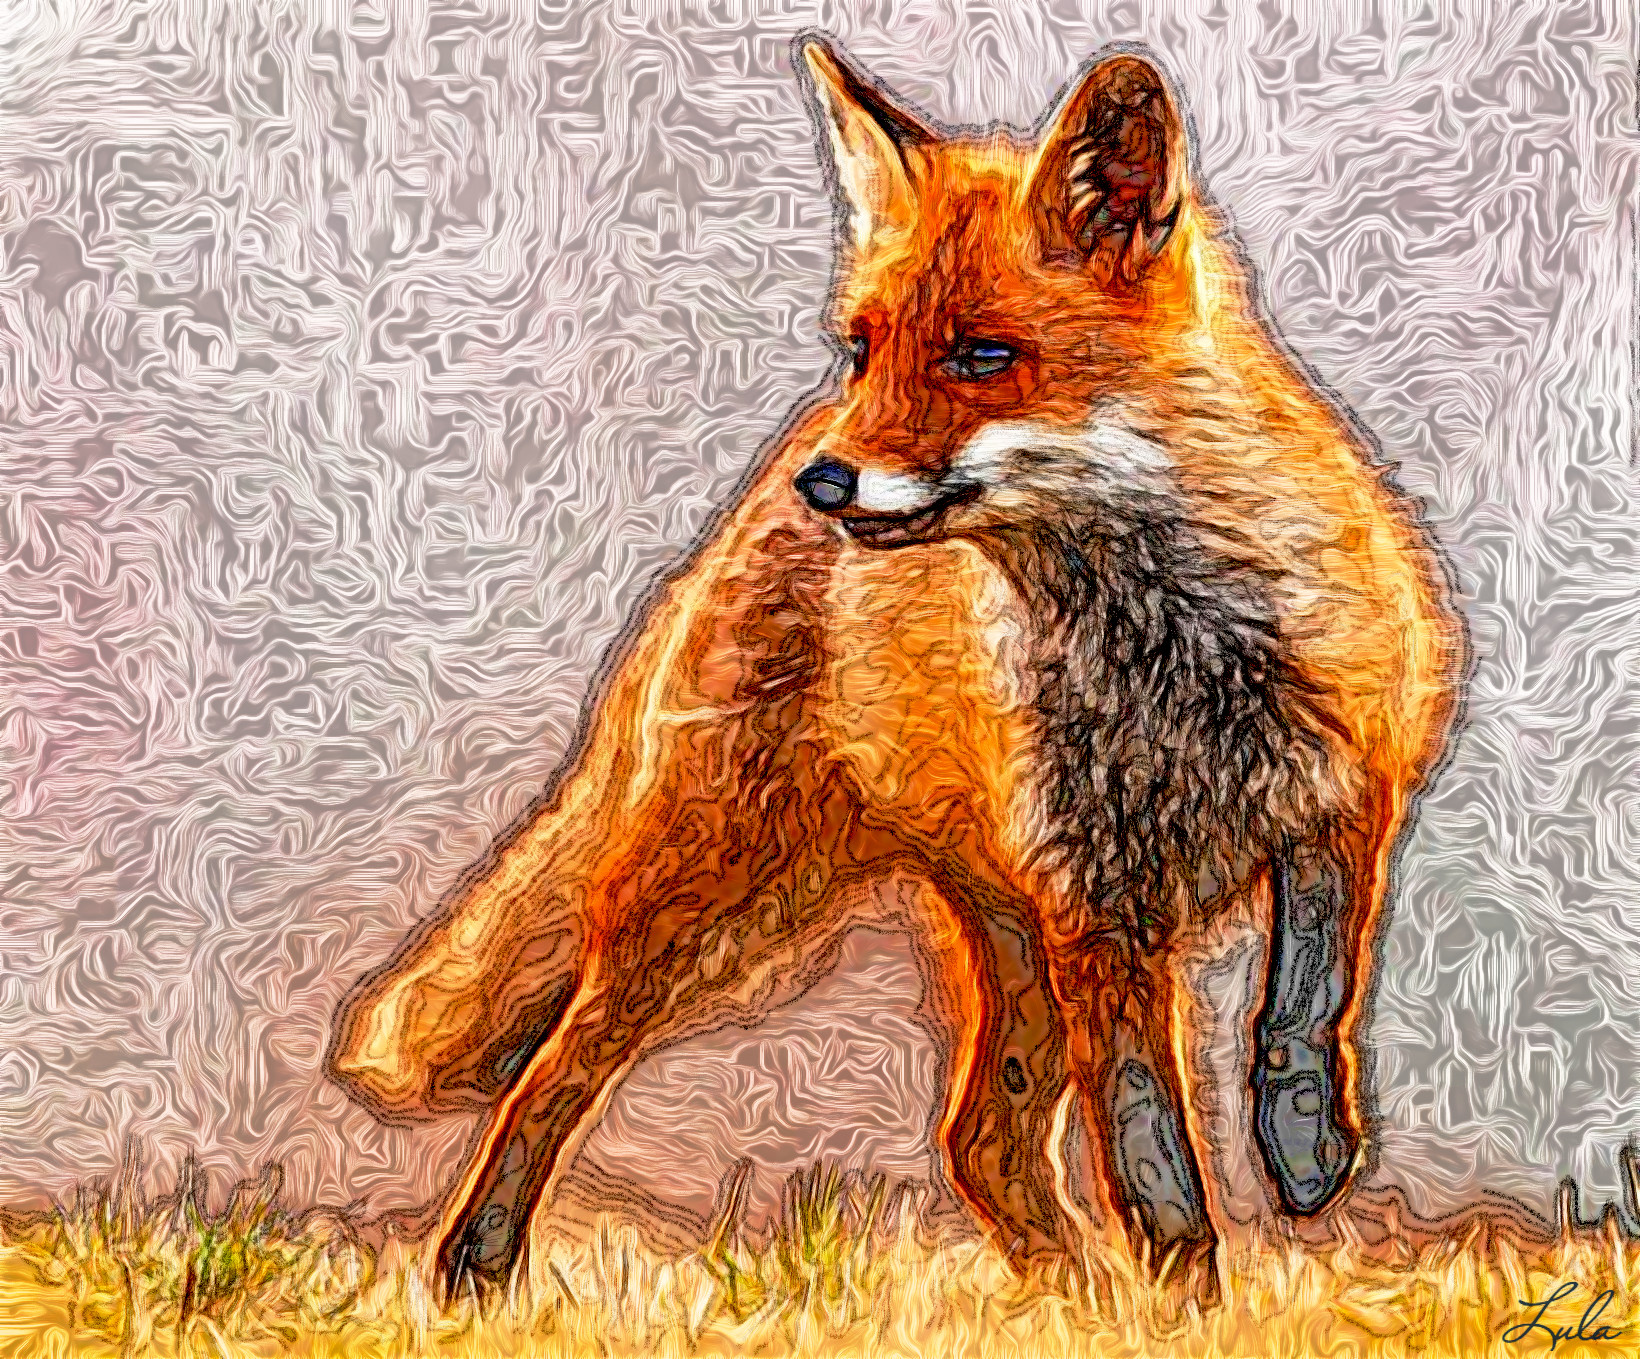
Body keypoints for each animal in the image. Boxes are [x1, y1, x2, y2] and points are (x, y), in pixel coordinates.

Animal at [327, 34, 1464, 1306]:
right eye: (865, 348)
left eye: (982, 356)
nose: (826, 483)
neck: (1169, 663)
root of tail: (740, 515)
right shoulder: (1098, 913)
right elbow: (1146, 1146)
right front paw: (1187, 1305)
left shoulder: (1342, 798)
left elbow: (1304, 1002)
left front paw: (1304, 1150)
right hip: (720, 908)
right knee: (558, 1070)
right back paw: (469, 1271)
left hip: (991, 947)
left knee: (979, 1139)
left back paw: (1063, 1296)